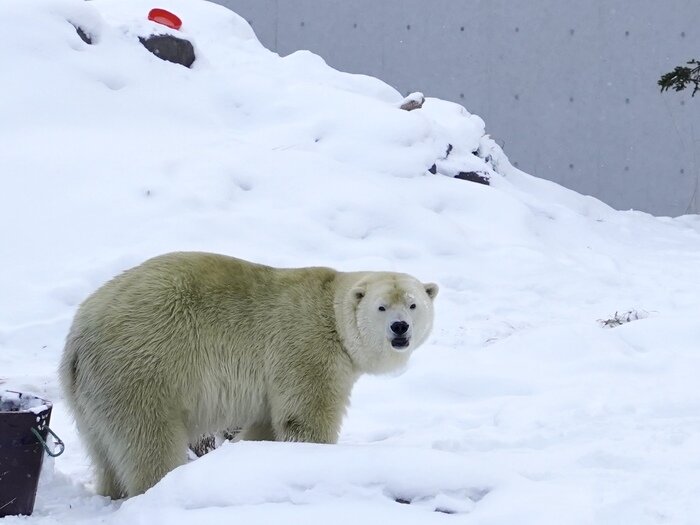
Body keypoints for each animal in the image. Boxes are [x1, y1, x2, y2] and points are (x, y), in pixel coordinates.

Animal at [60, 252, 434, 498]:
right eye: (382, 307)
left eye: (413, 304)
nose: (400, 328)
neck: (332, 315)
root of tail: (79, 336)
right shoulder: (305, 347)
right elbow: (306, 416)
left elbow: (266, 423)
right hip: (143, 367)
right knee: (148, 441)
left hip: (91, 394)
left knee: (104, 452)